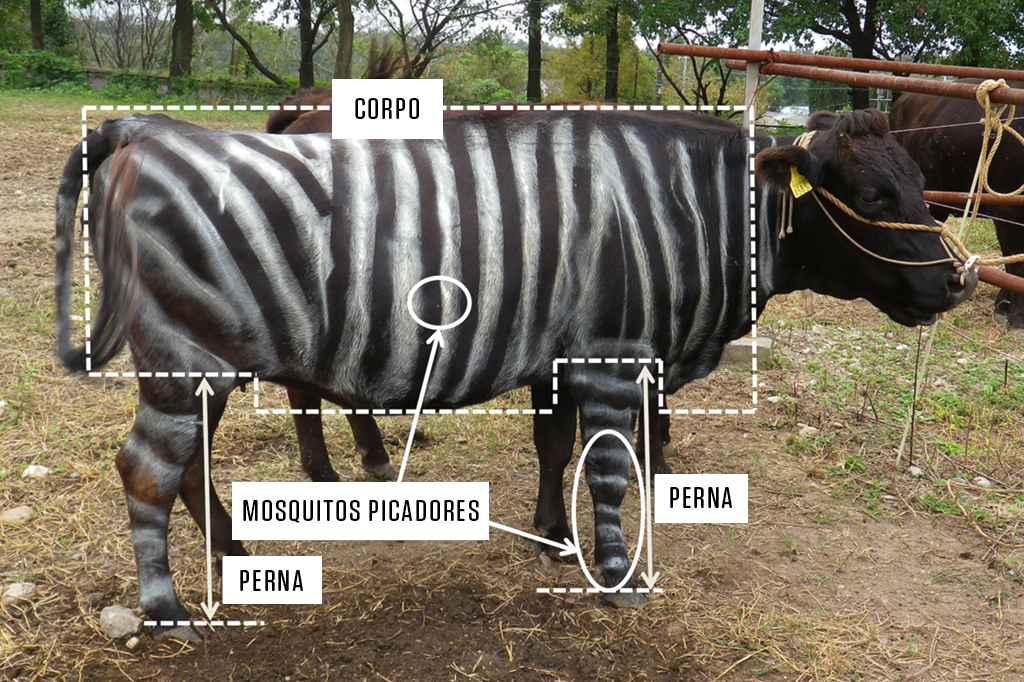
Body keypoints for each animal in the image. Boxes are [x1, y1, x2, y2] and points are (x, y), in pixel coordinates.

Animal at [55, 108, 976, 640]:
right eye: (873, 198)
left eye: (921, 189)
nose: (960, 284)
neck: (685, 210)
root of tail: (143, 131)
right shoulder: (610, 354)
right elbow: (608, 469)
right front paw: (616, 577)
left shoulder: (561, 354)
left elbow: (553, 447)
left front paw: (553, 539)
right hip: (188, 358)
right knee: (147, 469)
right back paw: (166, 613)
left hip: (210, 361)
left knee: (187, 466)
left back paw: (233, 551)